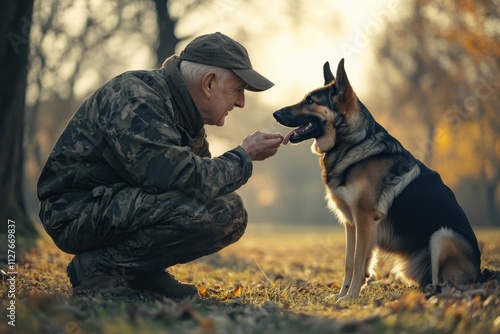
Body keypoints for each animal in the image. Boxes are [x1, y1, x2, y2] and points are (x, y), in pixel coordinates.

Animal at [276, 59, 482, 300]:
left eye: (310, 101)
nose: (275, 114)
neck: (353, 143)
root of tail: (480, 274)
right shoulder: (351, 222)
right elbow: (349, 261)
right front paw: (342, 296)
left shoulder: (365, 219)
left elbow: (358, 261)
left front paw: (351, 297)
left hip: (444, 234)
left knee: (449, 285)